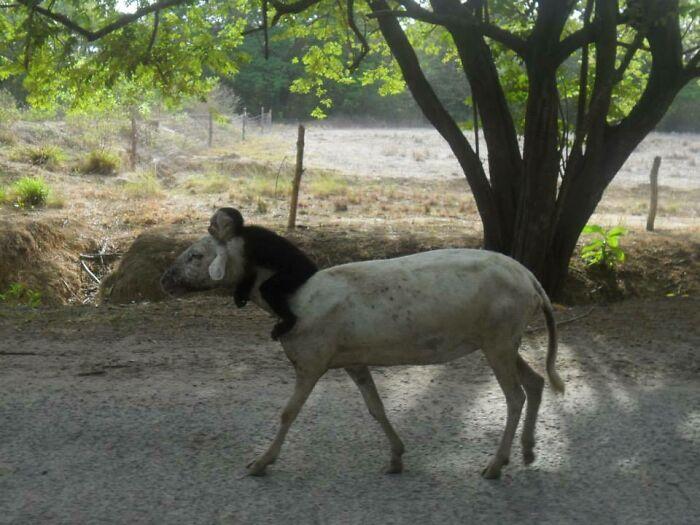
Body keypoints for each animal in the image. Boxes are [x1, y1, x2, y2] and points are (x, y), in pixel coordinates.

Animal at [163, 237, 564, 478]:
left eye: (196, 255)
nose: (165, 279)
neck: (294, 298)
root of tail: (532, 281)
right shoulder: (353, 361)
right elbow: (375, 408)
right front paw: (396, 456)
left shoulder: (311, 360)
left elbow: (288, 413)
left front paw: (260, 462)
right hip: (503, 340)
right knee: (535, 382)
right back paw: (528, 451)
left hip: (499, 336)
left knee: (515, 396)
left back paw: (496, 464)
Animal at [208, 207, 318, 338]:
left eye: (213, 223)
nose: (208, 228)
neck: (239, 232)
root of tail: (312, 268)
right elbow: (251, 270)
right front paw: (241, 294)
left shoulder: (237, 245)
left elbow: (247, 271)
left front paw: (240, 292)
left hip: (297, 273)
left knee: (268, 288)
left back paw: (289, 320)